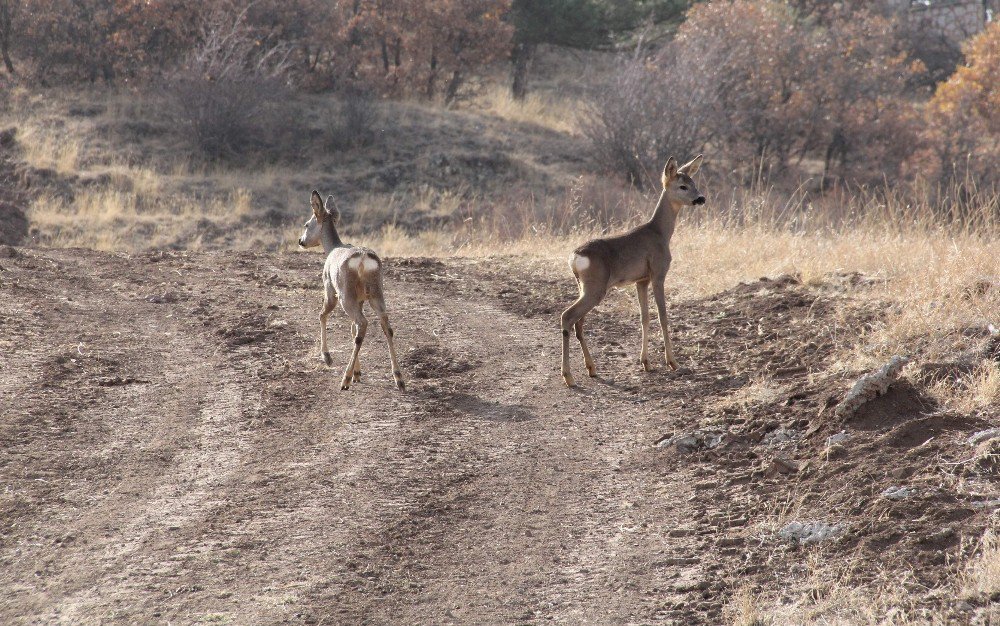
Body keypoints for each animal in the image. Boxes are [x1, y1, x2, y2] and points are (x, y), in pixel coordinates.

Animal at [298, 189, 404, 390]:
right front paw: (358, 372)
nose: (301, 241)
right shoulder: (360, 299)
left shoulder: (329, 288)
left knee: (362, 323)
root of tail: (363, 260)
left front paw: (327, 357)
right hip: (376, 293)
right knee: (384, 327)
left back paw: (345, 379)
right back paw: (399, 379)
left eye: (307, 224)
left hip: (345, 295)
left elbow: (322, 315)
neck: (333, 248)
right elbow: (352, 330)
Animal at [560, 154, 708, 386]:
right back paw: (569, 377)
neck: (660, 233)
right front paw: (672, 362)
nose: (701, 198)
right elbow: (662, 316)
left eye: (693, 182)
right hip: (595, 288)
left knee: (578, 323)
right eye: (682, 186)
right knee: (567, 316)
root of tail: (575, 257)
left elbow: (644, 317)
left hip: (583, 287)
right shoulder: (658, 274)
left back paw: (591, 368)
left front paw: (646, 362)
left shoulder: (641, 280)